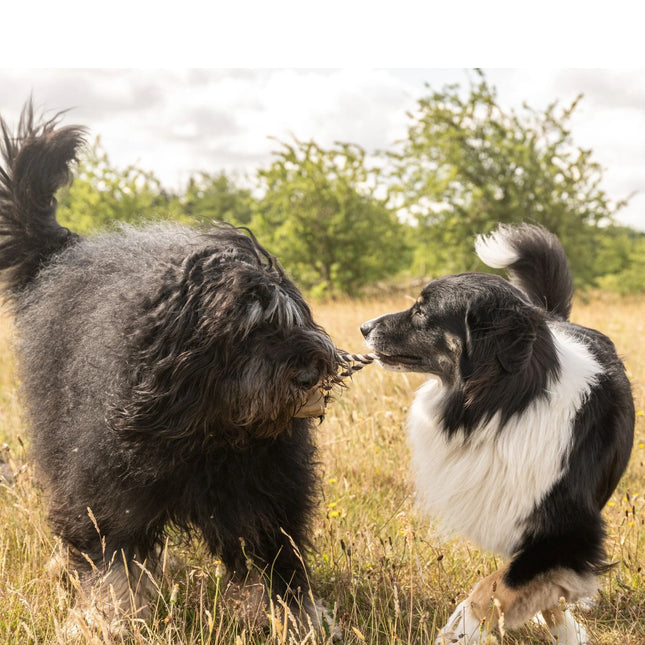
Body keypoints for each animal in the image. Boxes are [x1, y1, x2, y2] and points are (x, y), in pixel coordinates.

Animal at [0, 107, 348, 632]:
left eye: (293, 318)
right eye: (251, 330)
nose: (313, 369)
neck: (207, 430)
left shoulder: (268, 489)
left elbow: (280, 560)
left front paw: (301, 620)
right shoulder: (109, 488)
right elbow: (112, 560)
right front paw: (111, 621)